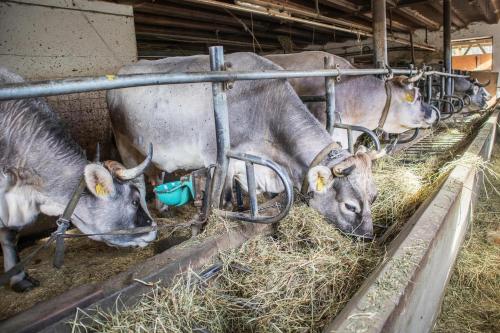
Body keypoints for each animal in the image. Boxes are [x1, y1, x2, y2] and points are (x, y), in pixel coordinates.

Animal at [107, 52, 384, 244]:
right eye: (350, 206)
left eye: (374, 196)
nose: (368, 236)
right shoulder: (219, 159)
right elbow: (222, 201)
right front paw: (201, 227)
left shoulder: (249, 166)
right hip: (126, 145)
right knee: (138, 182)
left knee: (156, 176)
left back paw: (163, 209)